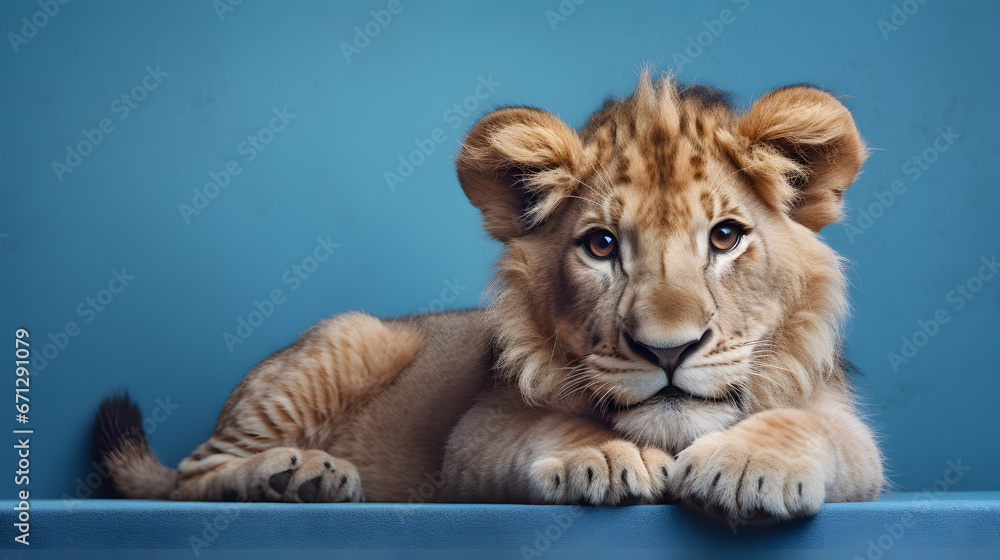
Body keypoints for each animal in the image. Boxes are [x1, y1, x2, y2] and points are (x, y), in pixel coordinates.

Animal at [94, 72, 883, 522]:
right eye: (601, 246)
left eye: (725, 236)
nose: (667, 351)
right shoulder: (472, 441)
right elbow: (548, 425)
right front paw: (604, 458)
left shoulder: (854, 438)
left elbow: (810, 428)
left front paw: (747, 464)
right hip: (355, 334)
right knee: (188, 478)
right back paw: (292, 475)